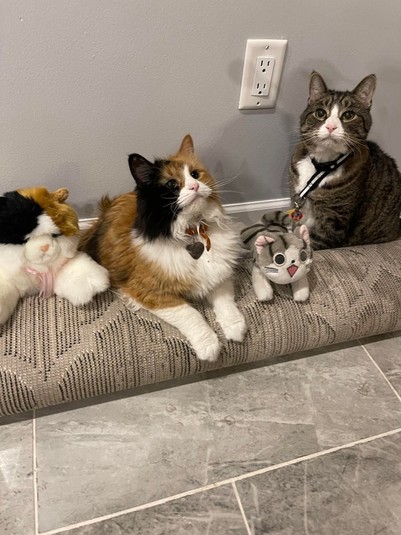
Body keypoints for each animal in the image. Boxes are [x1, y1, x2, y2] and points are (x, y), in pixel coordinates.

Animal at [79, 134, 247, 362]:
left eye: (195, 174)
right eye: (171, 184)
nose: (195, 187)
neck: (192, 231)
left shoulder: (218, 274)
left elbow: (225, 302)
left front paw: (235, 327)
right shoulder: (149, 292)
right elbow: (190, 314)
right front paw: (210, 346)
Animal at [289, 71, 401, 250]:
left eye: (348, 115)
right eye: (320, 113)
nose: (331, 127)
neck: (321, 166)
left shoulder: (334, 223)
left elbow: (309, 244)